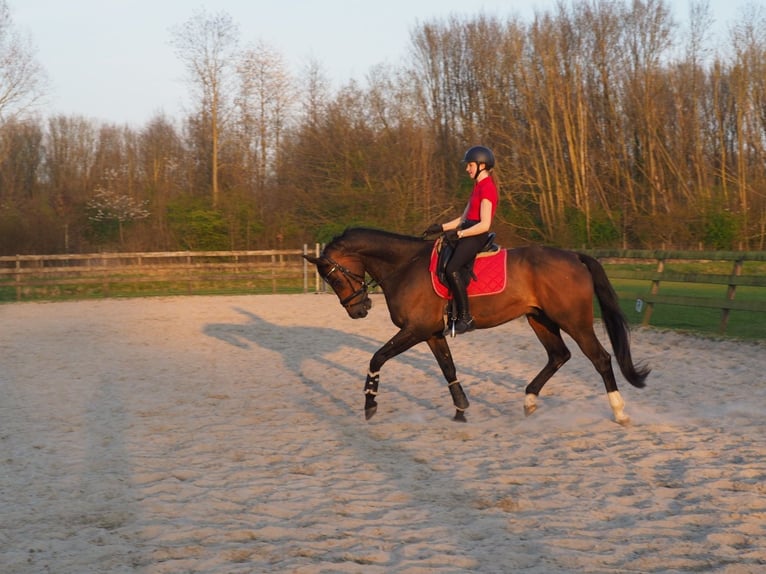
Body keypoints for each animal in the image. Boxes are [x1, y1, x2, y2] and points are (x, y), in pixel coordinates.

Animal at [304, 227, 649, 424]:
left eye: (334, 278)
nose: (359, 310)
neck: (405, 266)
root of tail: (575, 257)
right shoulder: (431, 333)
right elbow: (448, 368)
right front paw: (460, 410)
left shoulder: (414, 331)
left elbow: (377, 358)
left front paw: (369, 403)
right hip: (540, 318)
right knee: (558, 356)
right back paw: (529, 402)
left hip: (573, 320)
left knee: (600, 358)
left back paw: (619, 412)